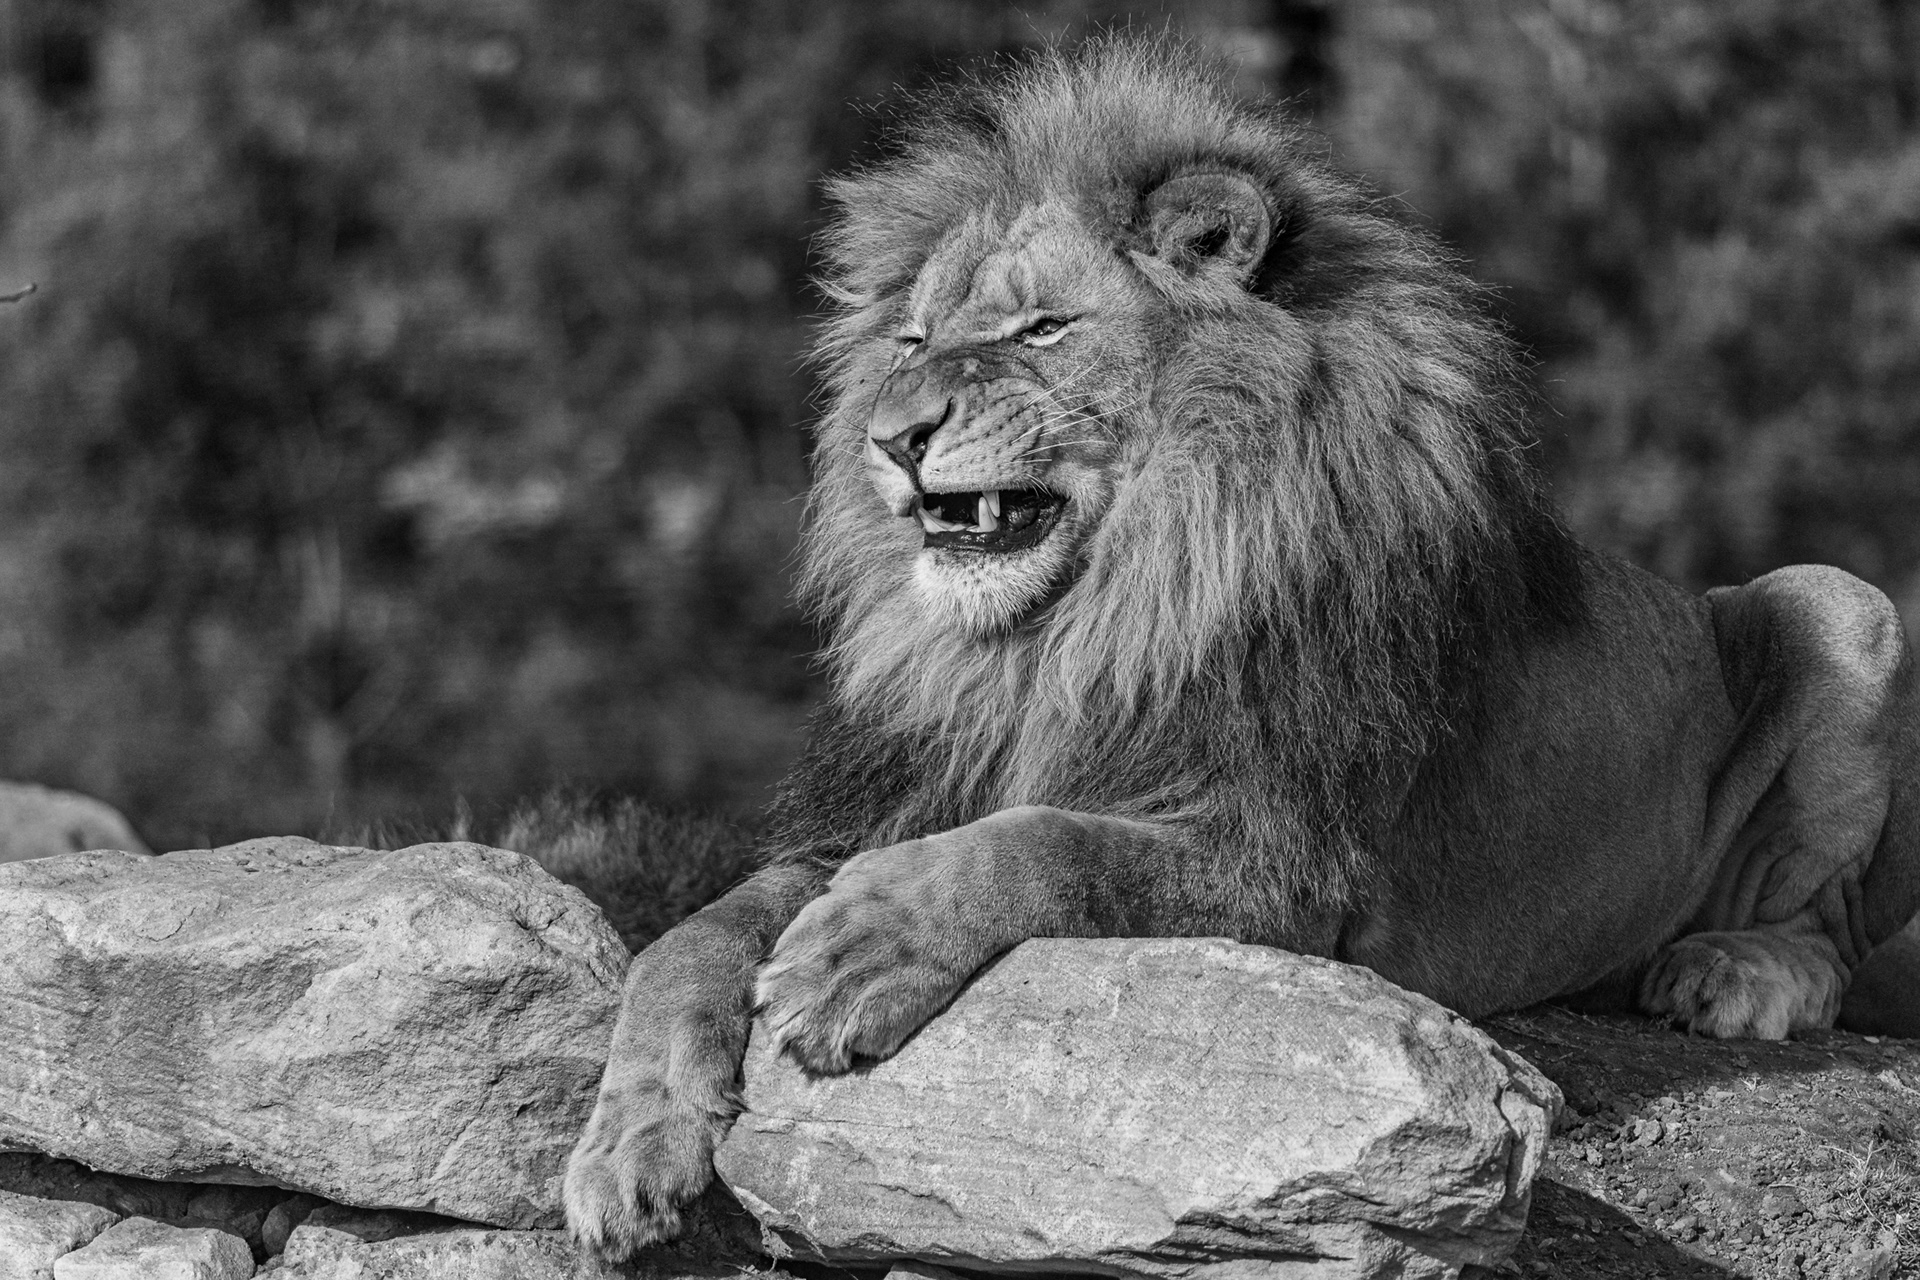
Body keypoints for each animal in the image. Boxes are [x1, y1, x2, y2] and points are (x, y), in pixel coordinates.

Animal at [563, 36, 1920, 1258]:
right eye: (909, 341)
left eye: (1043, 328)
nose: (892, 438)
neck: (1072, 628)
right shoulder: (897, 794)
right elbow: (695, 931)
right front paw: (627, 1143)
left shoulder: (1287, 866)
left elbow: (1045, 843)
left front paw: (858, 952)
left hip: (1843, 602)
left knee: (1834, 933)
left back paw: (1734, 971)